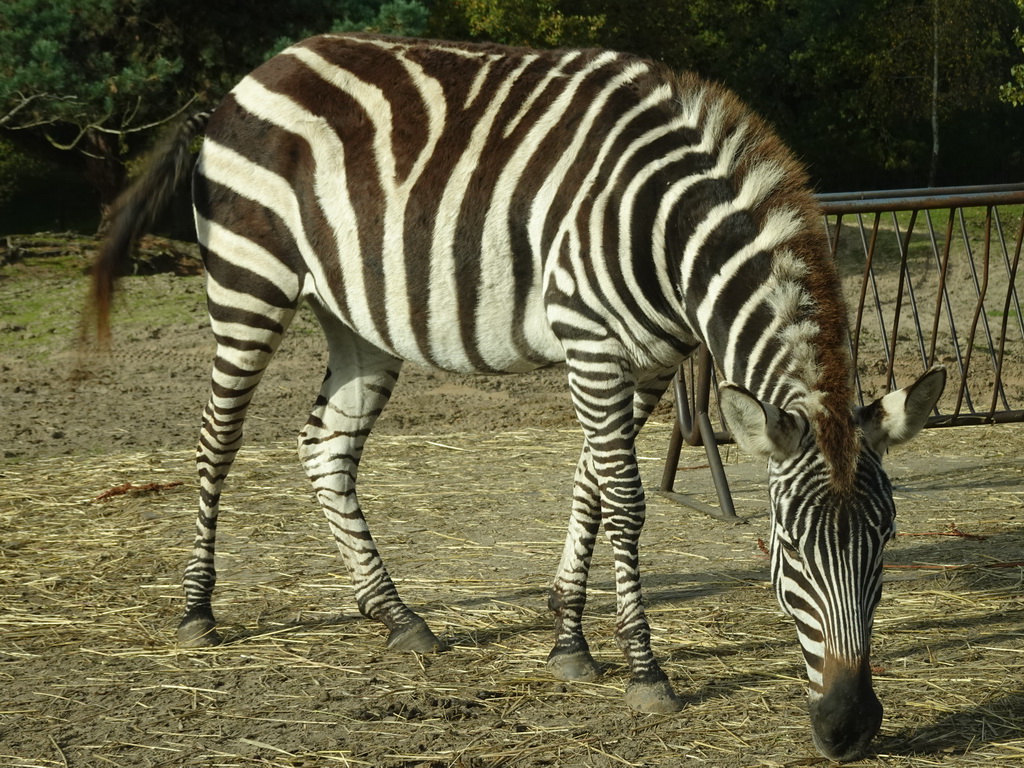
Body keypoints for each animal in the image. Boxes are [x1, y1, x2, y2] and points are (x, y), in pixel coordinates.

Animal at [92, 34, 946, 765]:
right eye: (788, 546)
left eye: (887, 540)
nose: (850, 728)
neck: (667, 231)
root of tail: (255, 74)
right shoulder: (591, 340)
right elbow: (626, 501)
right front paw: (645, 671)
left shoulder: (648, 360)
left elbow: (592, 489)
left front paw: (569, 641)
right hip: (250, 279)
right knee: (217, 439)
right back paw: (198, 611)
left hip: (355, 316)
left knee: (325, 445)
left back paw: (395, 614)